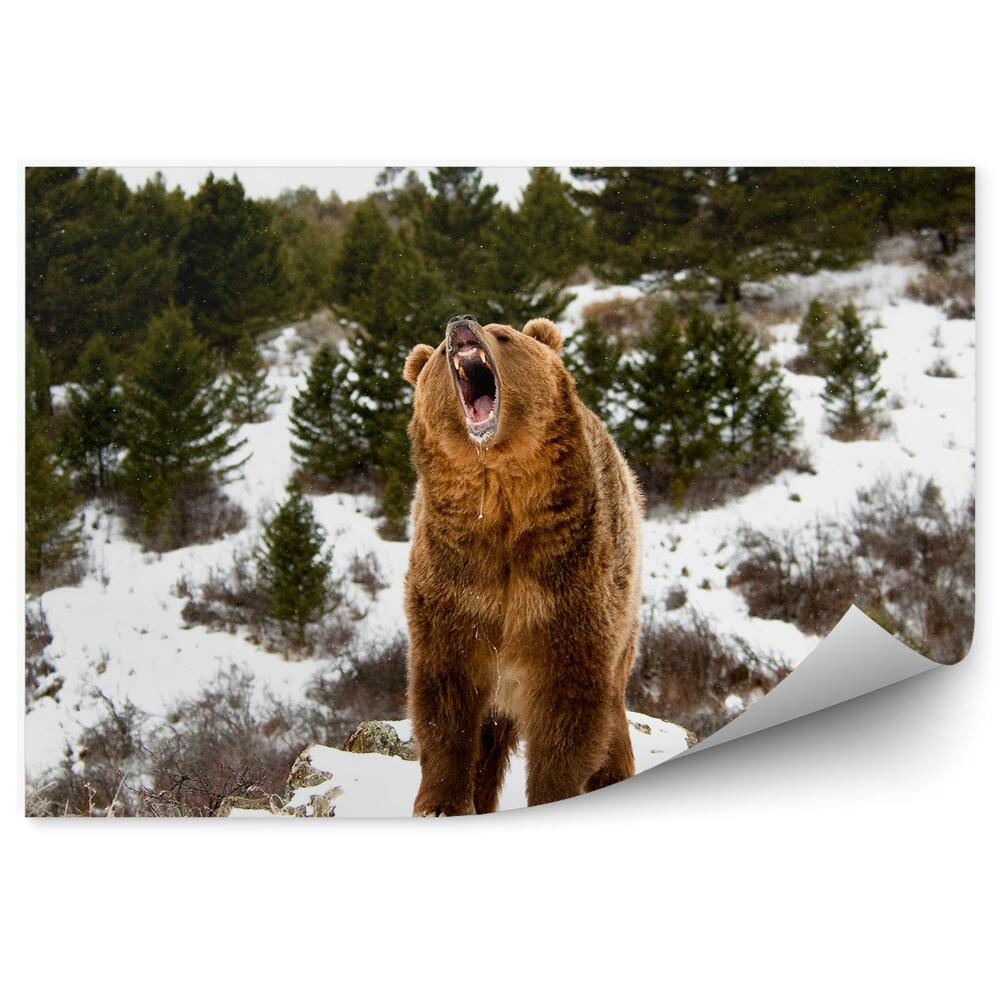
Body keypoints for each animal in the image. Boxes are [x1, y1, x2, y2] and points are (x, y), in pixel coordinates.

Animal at [402, 313, 644, 815]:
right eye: (438, 352)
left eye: (504, 335)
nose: (460, 323)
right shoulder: (455, 581)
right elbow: (445, 698)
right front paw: (441, 802)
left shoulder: (568, 584)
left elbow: (569, 709)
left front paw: (554, 793)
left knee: (612, 707)